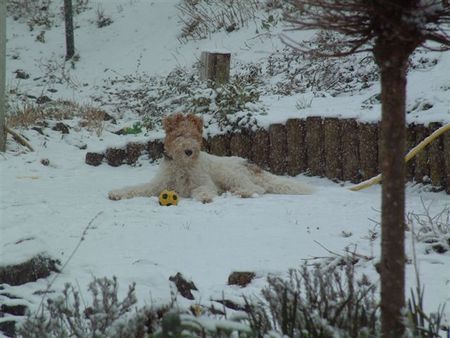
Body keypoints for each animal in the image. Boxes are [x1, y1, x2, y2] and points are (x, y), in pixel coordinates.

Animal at [108, 113, 312, 203]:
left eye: (194, 135)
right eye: (180, 135)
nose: (189, 151)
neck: (182, 165)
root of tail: (253, 165)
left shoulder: (204, 183)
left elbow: (202, 189)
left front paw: (205, 197)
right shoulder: (158, 185)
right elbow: (135, 188)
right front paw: (117, 193)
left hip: (229, 173)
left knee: (258, 189)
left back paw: (240, 192)